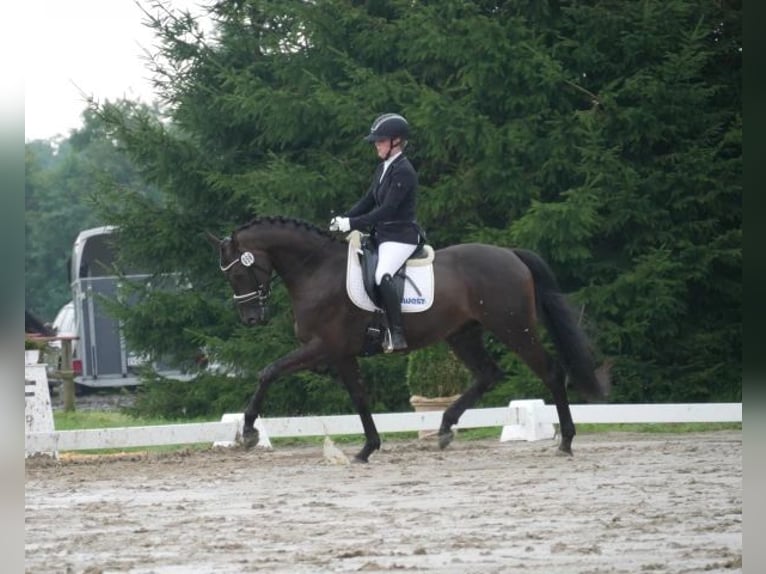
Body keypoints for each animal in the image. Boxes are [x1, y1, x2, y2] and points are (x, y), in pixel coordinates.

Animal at [206, 216, 612, 464]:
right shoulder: (340, 354)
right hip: (463, 334)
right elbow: (359, 397)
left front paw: (248, 432)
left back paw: (566, 441)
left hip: (514, 328)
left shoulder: (324, 347)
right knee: (488, 374)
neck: (316, 271)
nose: (251, 319)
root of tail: (511, 254)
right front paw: (367, 448)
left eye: (238, 273)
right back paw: (445, 429)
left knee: (551, 372)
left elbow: (269, 371)